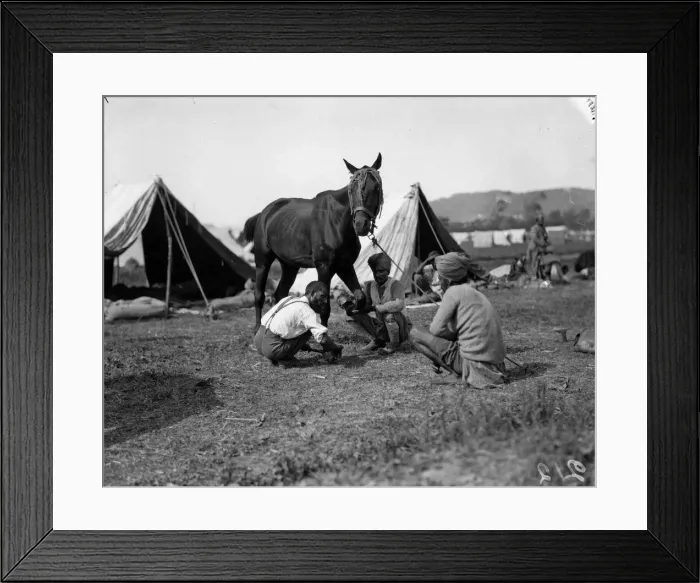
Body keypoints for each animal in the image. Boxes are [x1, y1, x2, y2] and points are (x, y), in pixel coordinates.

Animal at [243, 153, 384, 332]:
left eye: (376, 188)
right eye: (351, 190)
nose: (361, 224)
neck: (337, 222)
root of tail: (263, 214)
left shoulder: (344, 266)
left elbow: (360, 297)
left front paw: (351, 308)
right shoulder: (324, 267)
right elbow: (325, 309)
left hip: (290, 266)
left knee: (280, 293)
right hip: (262, 261)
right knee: (259, 295)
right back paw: (257, 328)